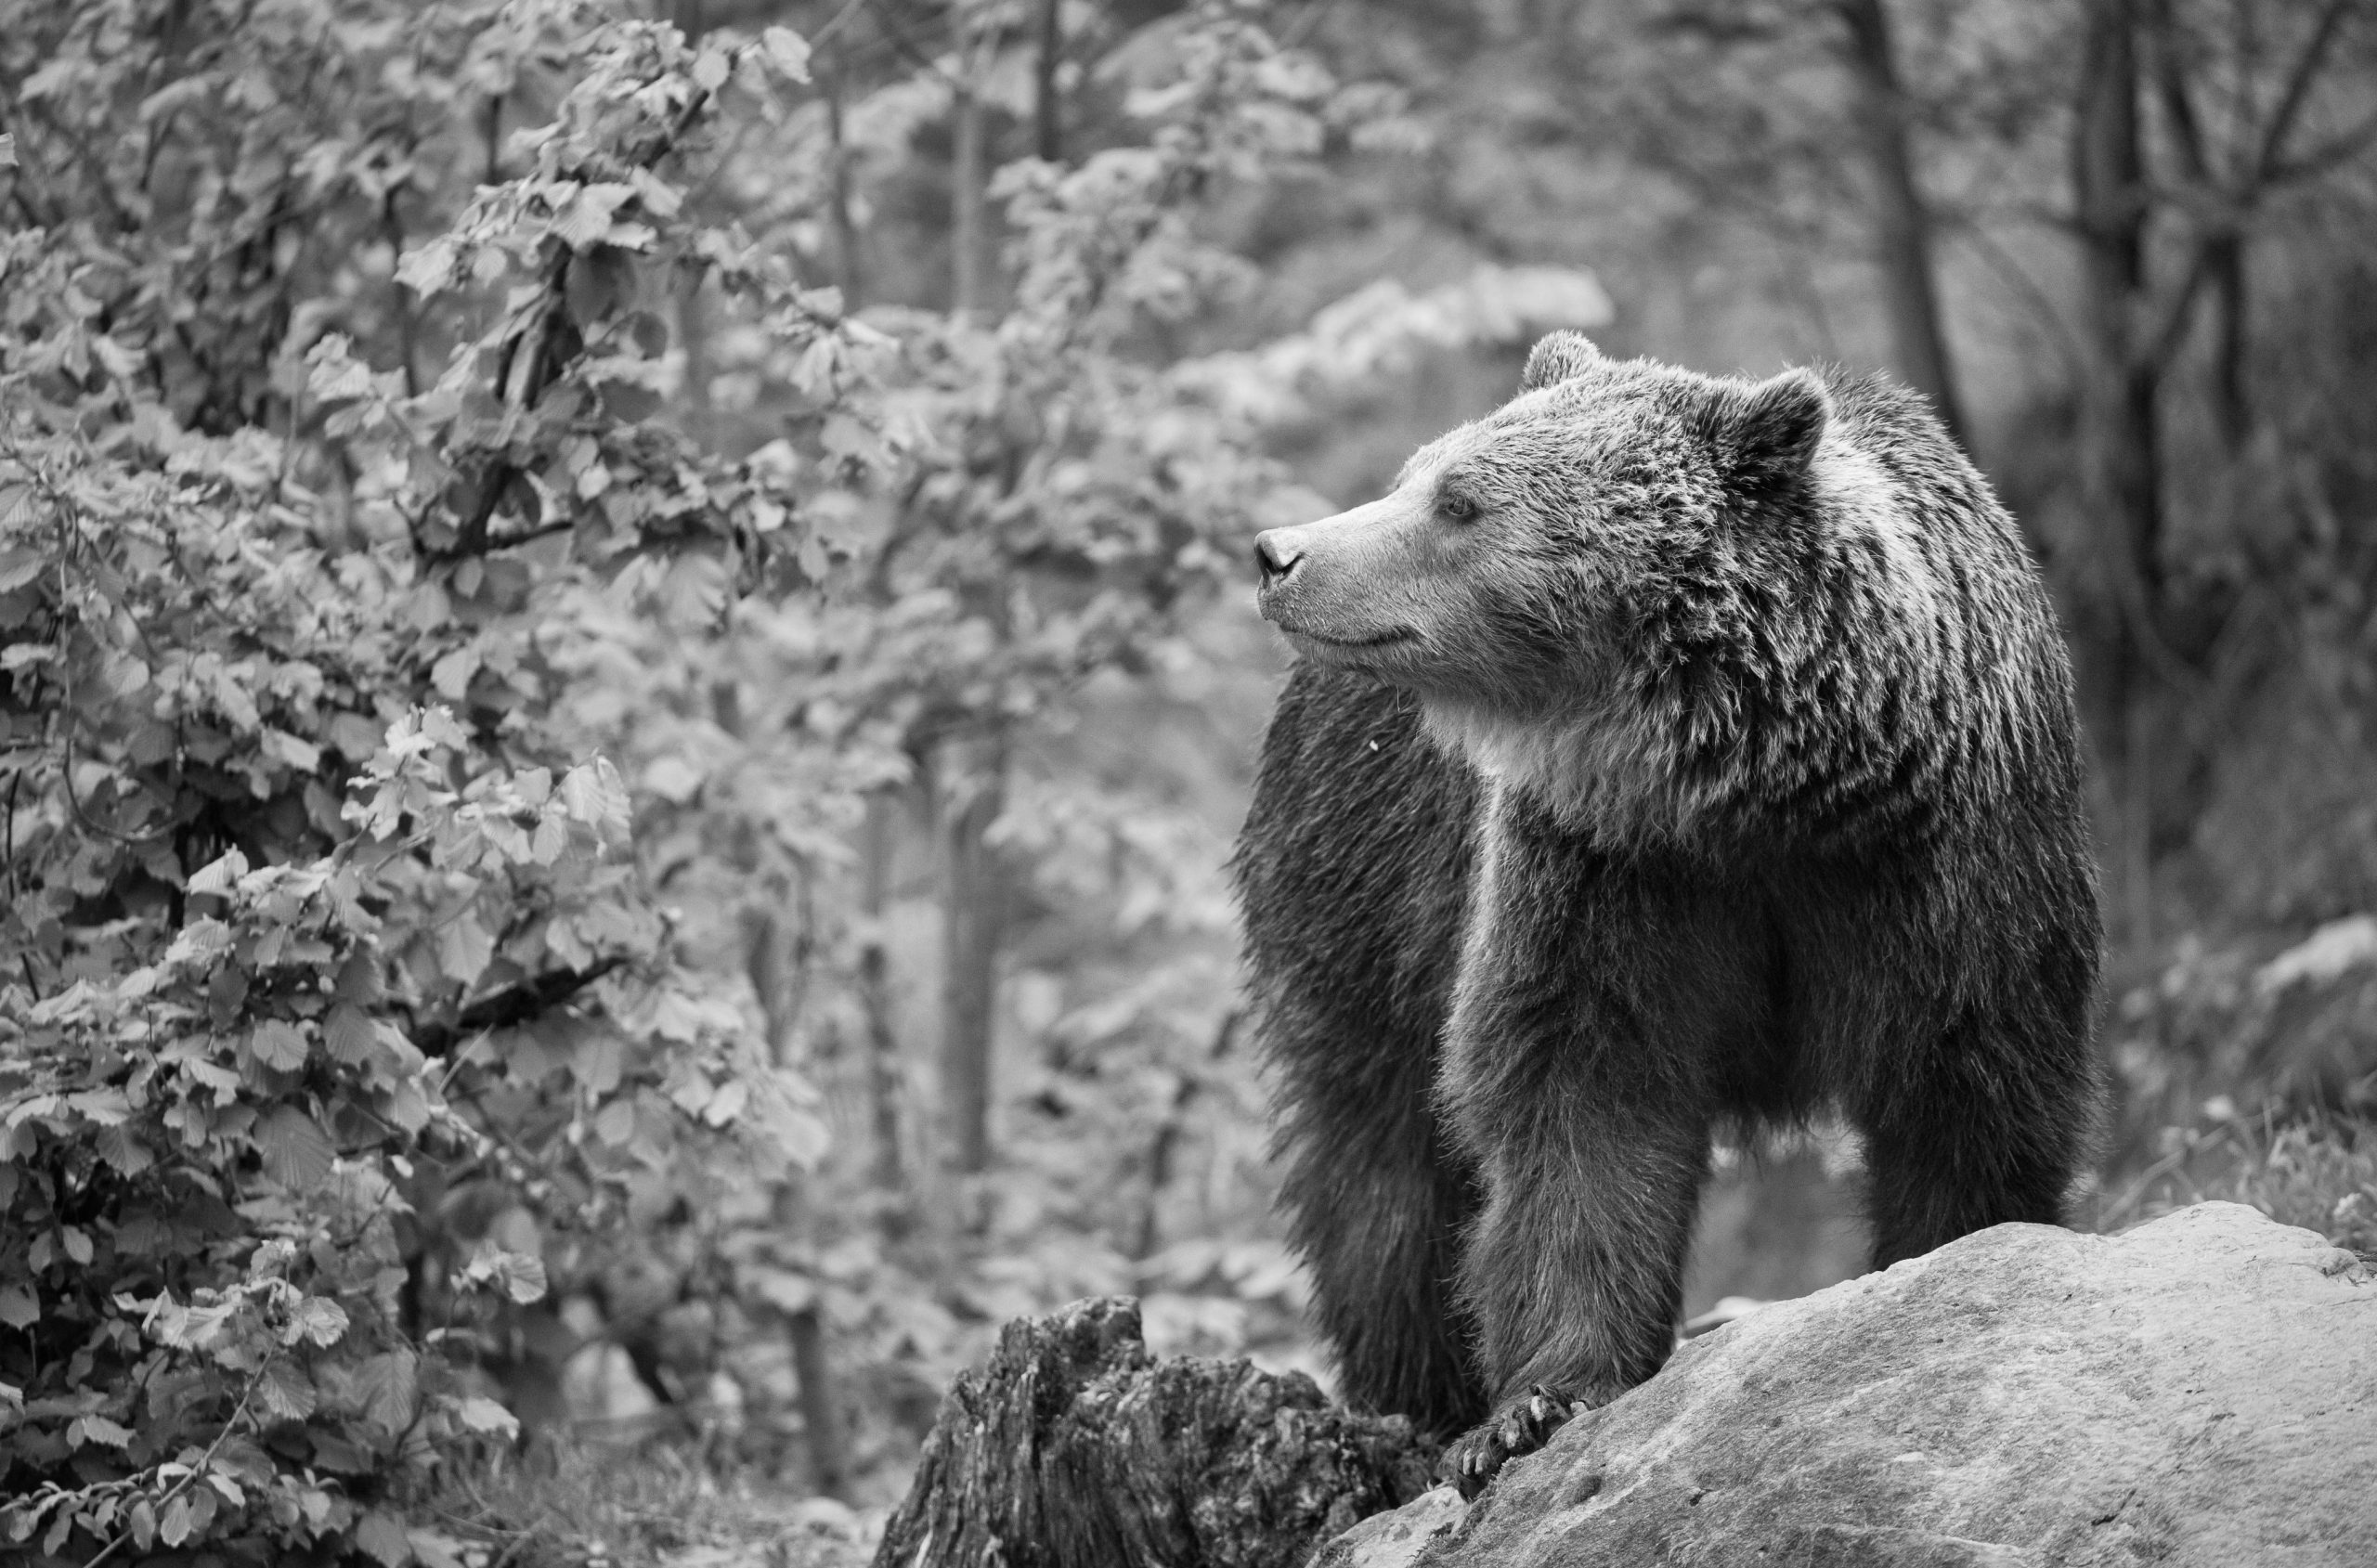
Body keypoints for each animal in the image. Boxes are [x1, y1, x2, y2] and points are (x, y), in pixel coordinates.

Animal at [1236, 334, 2111, 1492]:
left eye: (1458, 500)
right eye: (1415, 474)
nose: (1278, 552)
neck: (1763, 793)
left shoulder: (1949, 866)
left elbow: (1966, 1086)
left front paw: (1949, 1266)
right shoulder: (1601, 875)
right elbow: (1582, 1099)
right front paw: (1533, 1406)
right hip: (1359, 890)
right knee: (1381, 1163)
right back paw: (1416, 1395)